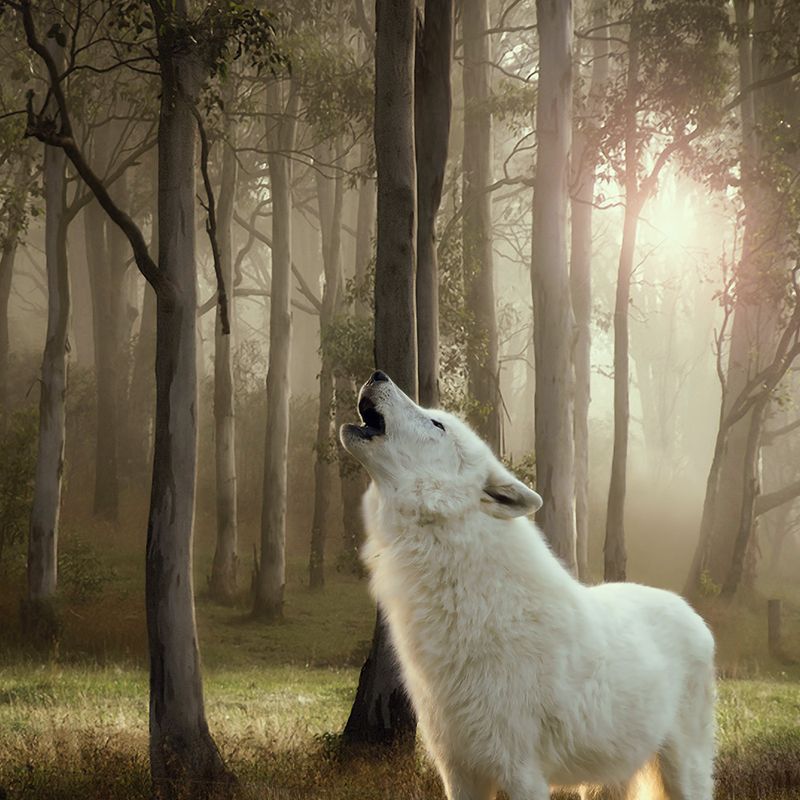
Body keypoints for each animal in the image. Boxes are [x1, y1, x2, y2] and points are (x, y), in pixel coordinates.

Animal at [340, 371, 716, 800]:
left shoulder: (521, 773)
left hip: (685, 773)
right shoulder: (458, 771)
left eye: (437, 424)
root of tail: (688, 610)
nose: (378, 374)